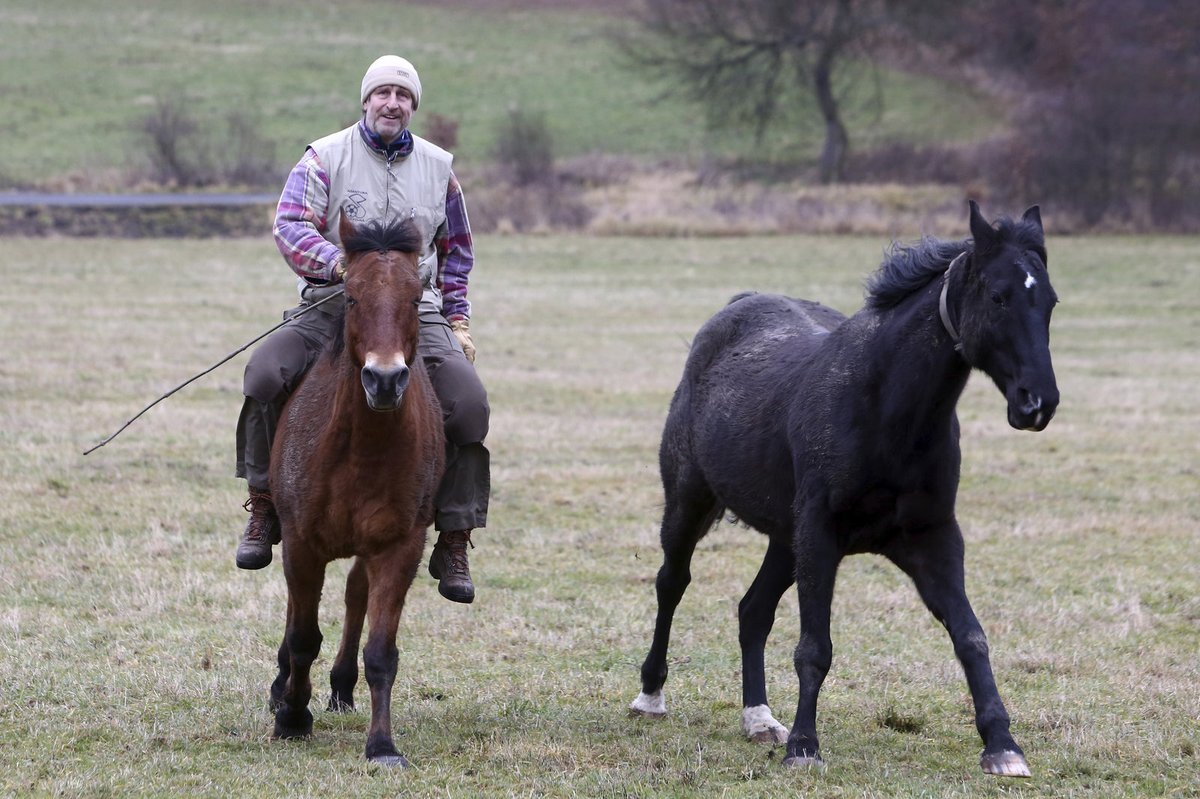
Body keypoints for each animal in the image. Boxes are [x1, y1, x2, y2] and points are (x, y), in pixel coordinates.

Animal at [267, 214, 446, 763]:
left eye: (416, 297)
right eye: (350, 297)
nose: (384, 380)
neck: (362, 449)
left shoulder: (398, 547)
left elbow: (381, 651)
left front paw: (382, 744)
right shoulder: (301, 543)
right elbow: (303, 636)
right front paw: (292, 718)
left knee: (354, 597)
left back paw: (342, 686)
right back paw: (283, 688)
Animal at [633, 202, 1056, 772]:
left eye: (1050, 300)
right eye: (999, 296)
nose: (1038, 402)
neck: (884, 412)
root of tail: (736, 307)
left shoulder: (933, 538)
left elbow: (971, 636)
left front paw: (1003, 745)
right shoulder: (820, 536)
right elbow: (815, 647)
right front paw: (804, 747)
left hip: (784, 538)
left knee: (752, 611)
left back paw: (759, 718)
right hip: (690, 503)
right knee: (672, 584)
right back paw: (651, 695)